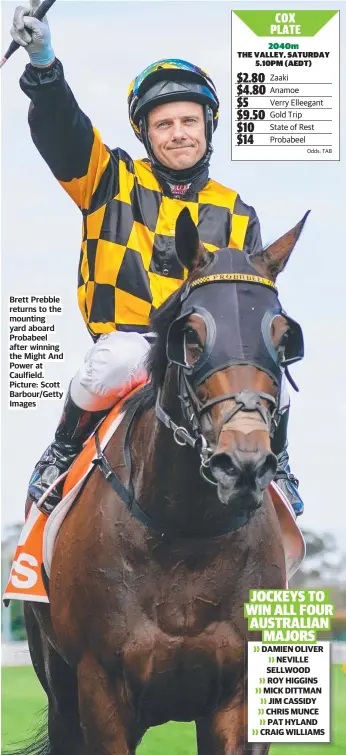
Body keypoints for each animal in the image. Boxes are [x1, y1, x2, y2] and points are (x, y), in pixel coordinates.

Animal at [13, 210, 306, 755]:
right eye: (191, 334)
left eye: (282, 338)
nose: (244, 463)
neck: (185, 534)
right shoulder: (100, 691)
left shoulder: (239, 696)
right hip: (59, 685)